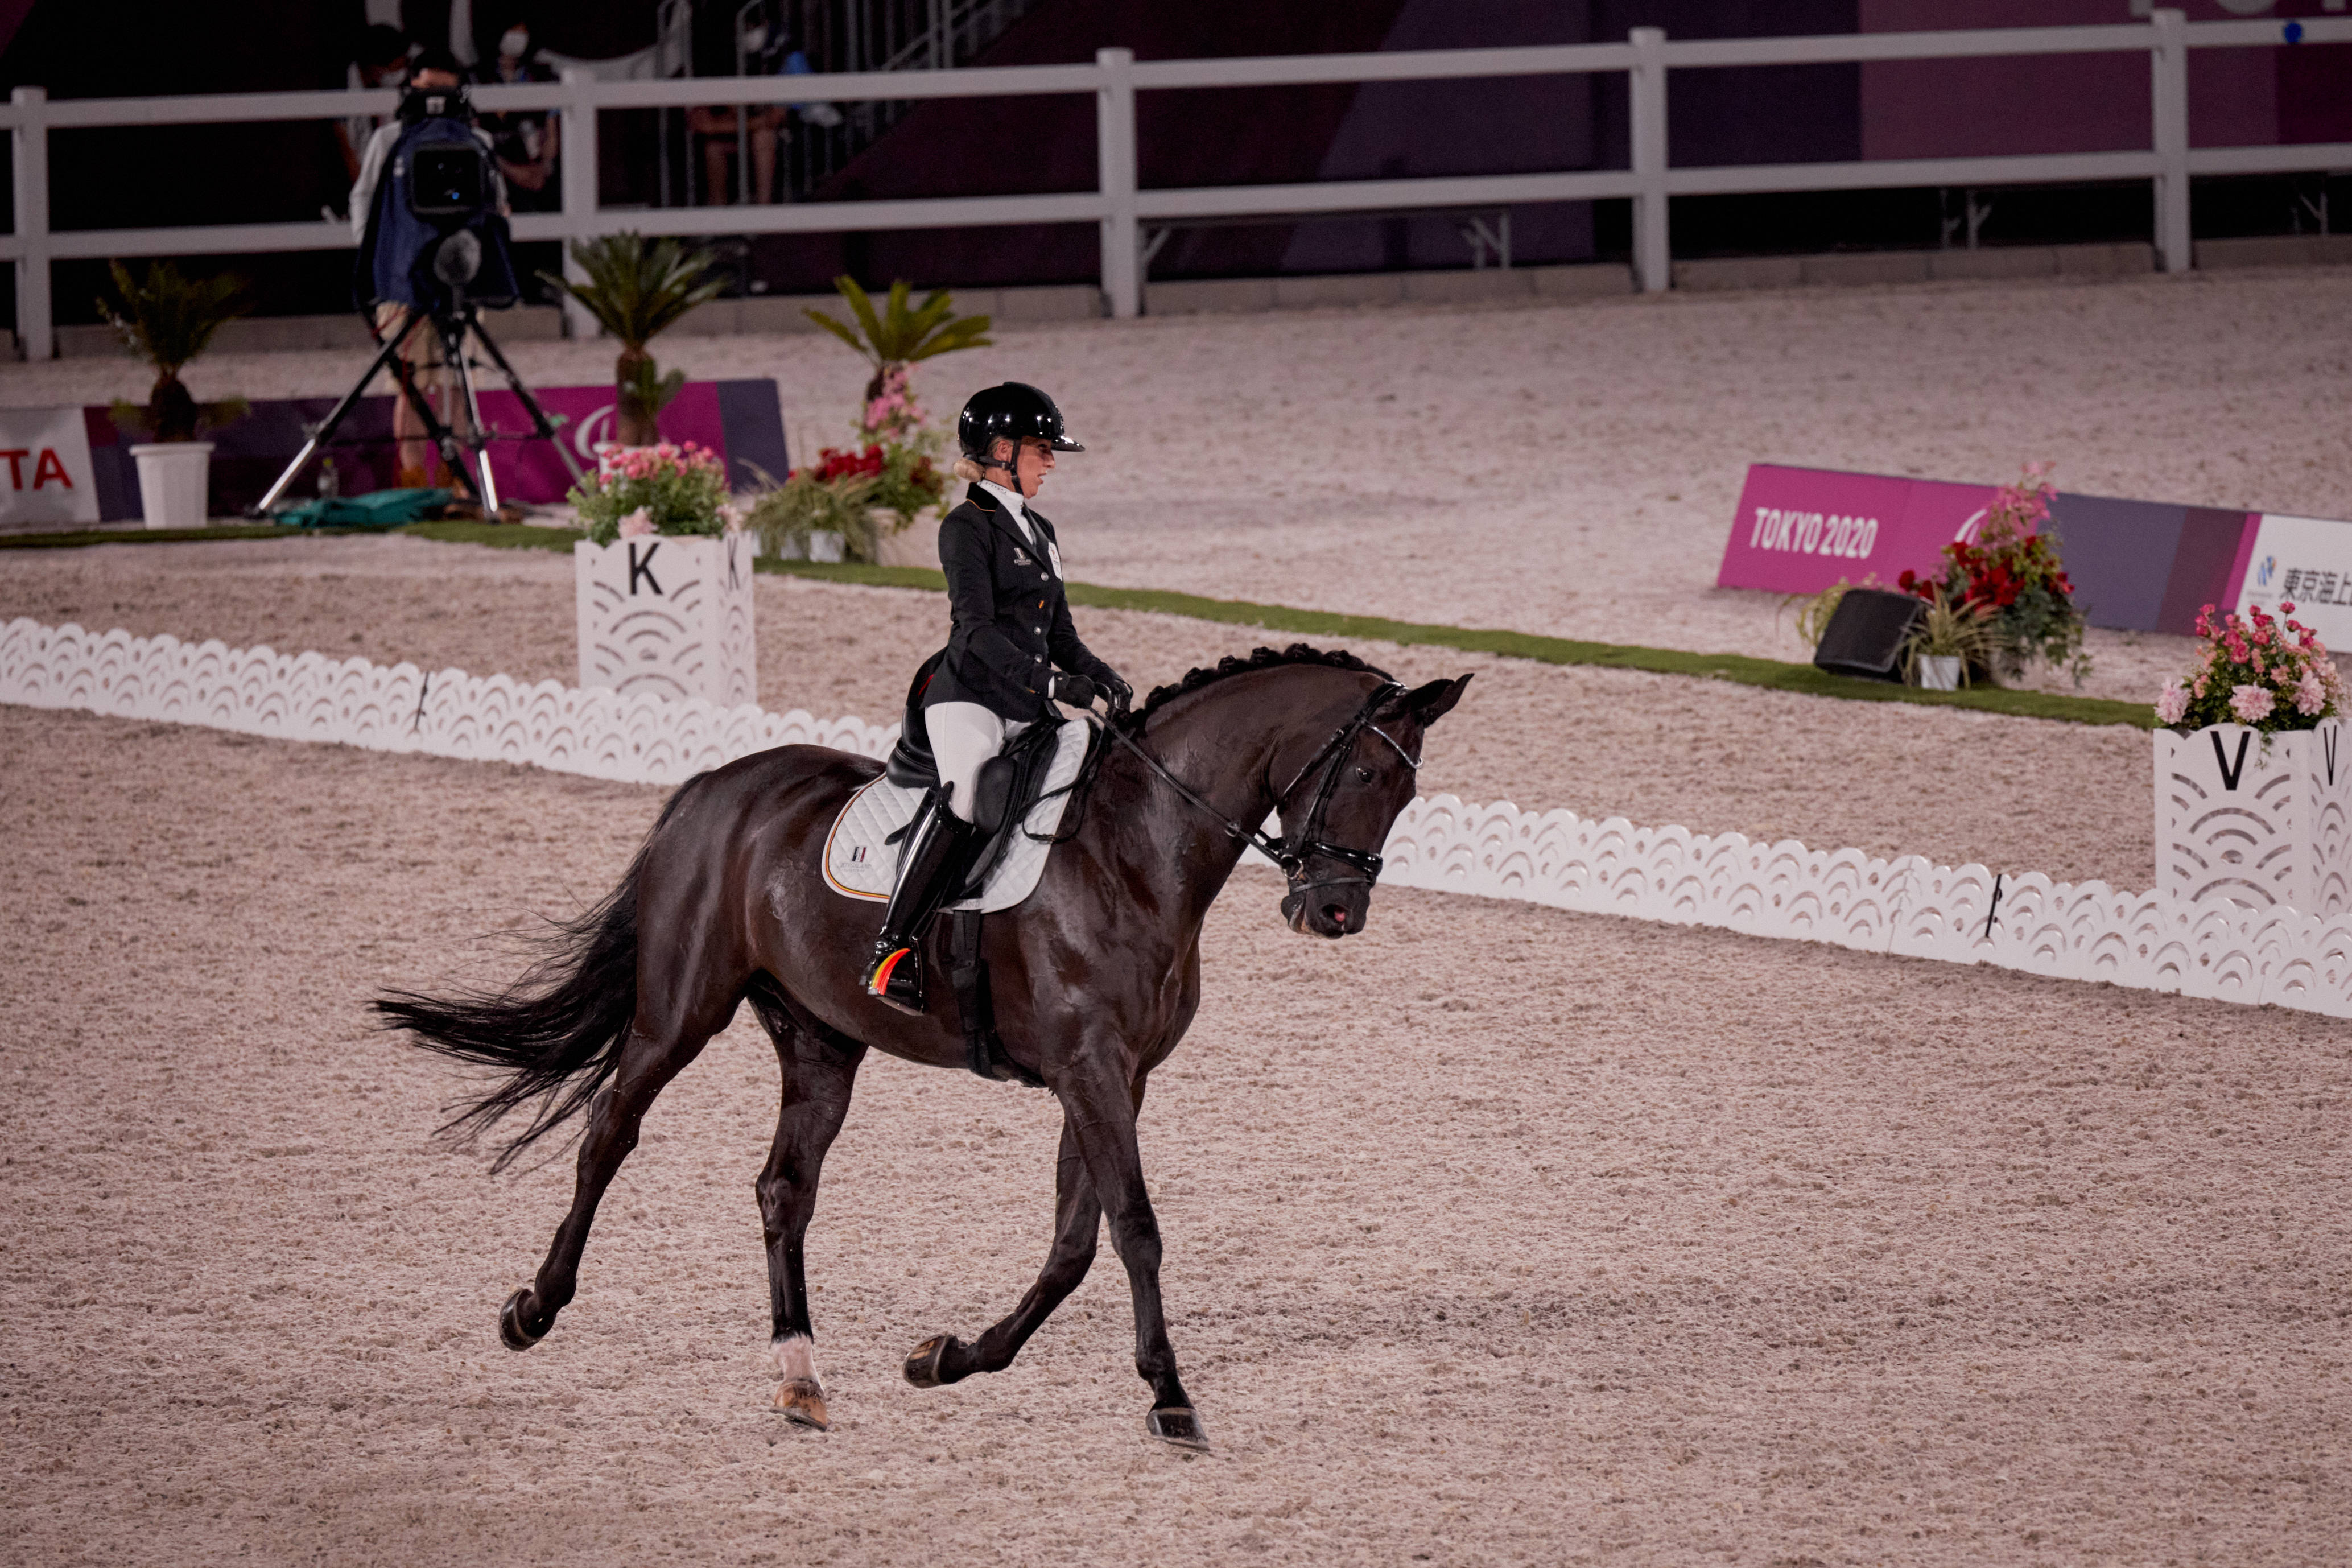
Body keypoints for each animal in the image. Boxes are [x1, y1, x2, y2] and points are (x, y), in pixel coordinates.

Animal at [381, 644, 1467, 1457]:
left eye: (1407, 791)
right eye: (1363, 772)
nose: (1334, 912)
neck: (1135, 849)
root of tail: (714, 786)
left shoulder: (1115, 1077)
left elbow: (1074, 1244)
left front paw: (947, 1358)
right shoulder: (1088, 1070)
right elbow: (1134, 1230)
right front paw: (1170, 1399)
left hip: (820, 1041)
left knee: (783, 1188)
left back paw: (801, 1376)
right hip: (681, 1011)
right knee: (609, 1132)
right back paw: (533, 1310)